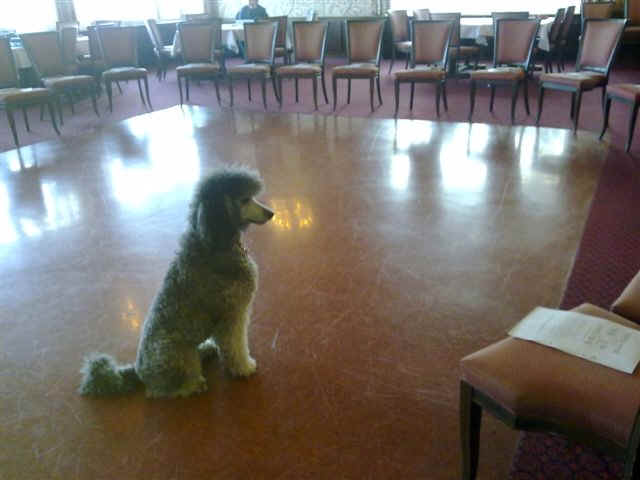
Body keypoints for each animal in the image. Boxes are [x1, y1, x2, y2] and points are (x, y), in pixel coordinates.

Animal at [79, 167, 274, 398]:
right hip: (180, 358)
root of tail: (138, 371)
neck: (212, 245)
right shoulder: (232, 315)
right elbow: (236, 346)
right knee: (165, 390)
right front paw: (244, 367)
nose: (271, 213)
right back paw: (194, 385)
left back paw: (206, 349)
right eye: (244, 199)